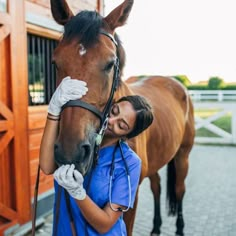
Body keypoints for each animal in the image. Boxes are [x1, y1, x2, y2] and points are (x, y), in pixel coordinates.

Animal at [49, 0, 194, 235]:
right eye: (55, 62)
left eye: (110, 64)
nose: (71, 152)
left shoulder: (131, 201)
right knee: (157, 186)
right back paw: (156, 226)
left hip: (183, 155)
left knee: (180, 189)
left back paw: (180, 228)